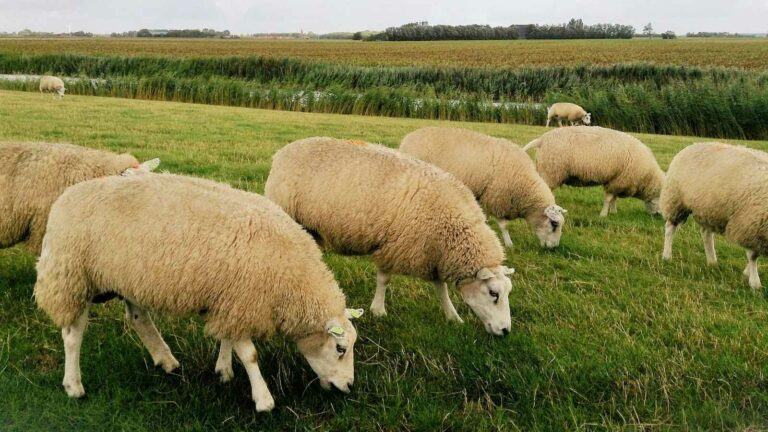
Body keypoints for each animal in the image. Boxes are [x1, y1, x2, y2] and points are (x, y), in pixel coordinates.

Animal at [34, 173, 364, 412]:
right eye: (340, 348)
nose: (349, 387)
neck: (293, 276)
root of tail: (65, 197)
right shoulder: (240, 299)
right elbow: (250, 354)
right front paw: (264, 399)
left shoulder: (230, 300)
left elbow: (228, 339)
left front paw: (224, 370)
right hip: (73, 276)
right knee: (73, 334)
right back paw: (74, 385)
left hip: (128, 277)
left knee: (138, 318)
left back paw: (166, 360)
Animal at [264, 137, 515, 336]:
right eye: (494, 293)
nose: (505, 331)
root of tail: (282, 153)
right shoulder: (394, 245)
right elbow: (384, 279)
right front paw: (378, 310)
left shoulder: (433, 252)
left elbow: (441, 287)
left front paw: (452, 316)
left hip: (311, 228)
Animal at [400, 127, 567, 249]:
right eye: (554, 224)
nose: (554, 248)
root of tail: (407, 139)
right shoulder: (498, 198)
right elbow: (504, 225)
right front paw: (509, 244)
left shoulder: (484, 195)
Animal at [523, 126, 665, 217]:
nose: (659, 215)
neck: (646, 176)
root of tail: (542, 139)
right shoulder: (617, 181)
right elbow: (608, 199)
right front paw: (603, 215)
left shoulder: (617, 181)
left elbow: (614, 199)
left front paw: (613, 212)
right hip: (551, 171)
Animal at [661, 142, 768, 292]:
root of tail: (691, 145)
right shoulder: (750, 224)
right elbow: (753, 256)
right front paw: (754, 282)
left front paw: (747, 274)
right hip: (676, 200)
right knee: (670, 228)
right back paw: (667, 256)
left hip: (708, 209)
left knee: (706, 234)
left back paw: (712, 261)